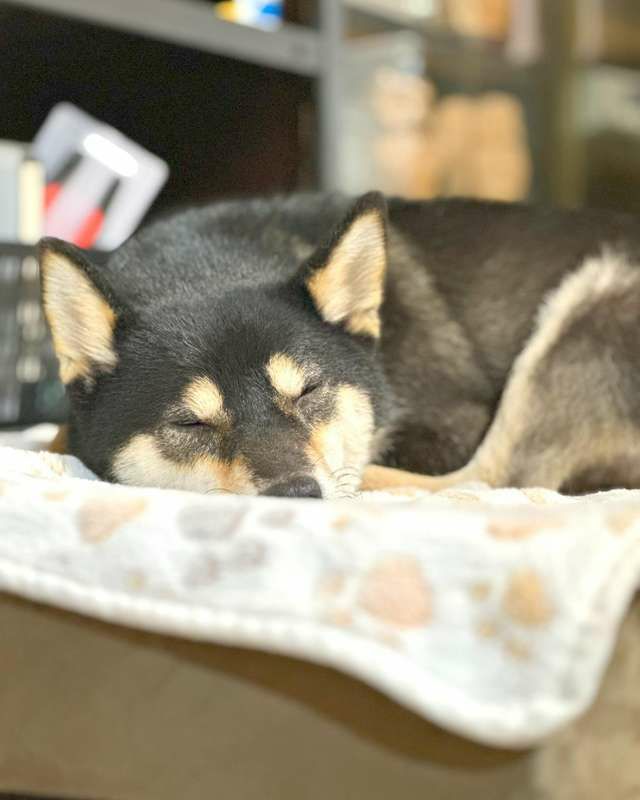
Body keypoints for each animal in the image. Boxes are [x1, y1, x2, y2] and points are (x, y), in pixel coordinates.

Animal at [38, 192, 640, 499]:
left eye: (307, 392)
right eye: (191, 423)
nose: (296, 495)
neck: (202, 265)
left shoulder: (454, 422)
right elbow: (57, 435)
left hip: (596, 296)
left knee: (491, 483)